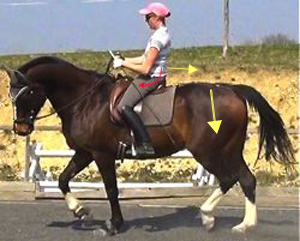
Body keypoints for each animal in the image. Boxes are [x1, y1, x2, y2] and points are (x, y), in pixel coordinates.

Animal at [4, 57, 296, 235]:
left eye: (27, 93)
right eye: (11, 95)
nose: (21, 129)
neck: (85, 99)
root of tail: (233, 91)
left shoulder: (101, 154)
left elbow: (111, 189)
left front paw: (114, 225)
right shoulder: (85, 152)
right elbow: (63, 179)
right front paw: (80, 211)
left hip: (209, 151)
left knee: (230, 178)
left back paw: (210, 216)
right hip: (228, 149)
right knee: (246, 179)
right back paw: (243, 224)